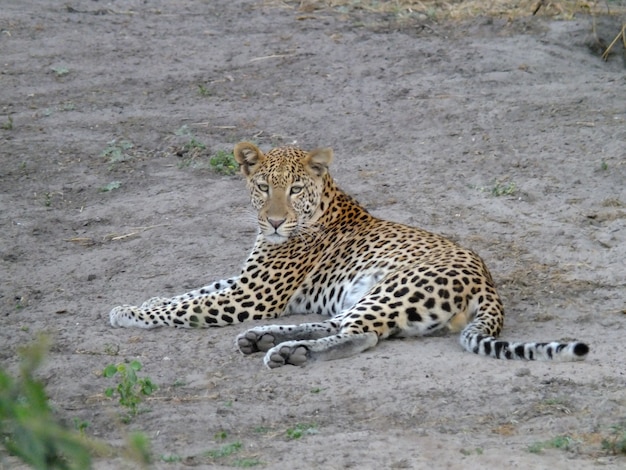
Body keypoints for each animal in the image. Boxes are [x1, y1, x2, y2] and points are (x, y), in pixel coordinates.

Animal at [109, 141, 588, 370]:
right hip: (371, 295)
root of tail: (490, 284)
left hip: (394, 289)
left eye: (294, 189)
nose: (275, 222)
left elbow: (188, 306)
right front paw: (145, 301)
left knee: (360, 335)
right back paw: (264, 339)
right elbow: (193, 291)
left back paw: (290, 353)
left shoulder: (251, 296)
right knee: (341, 324)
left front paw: (128, 312)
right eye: (263, 186)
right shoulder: (244, 283)